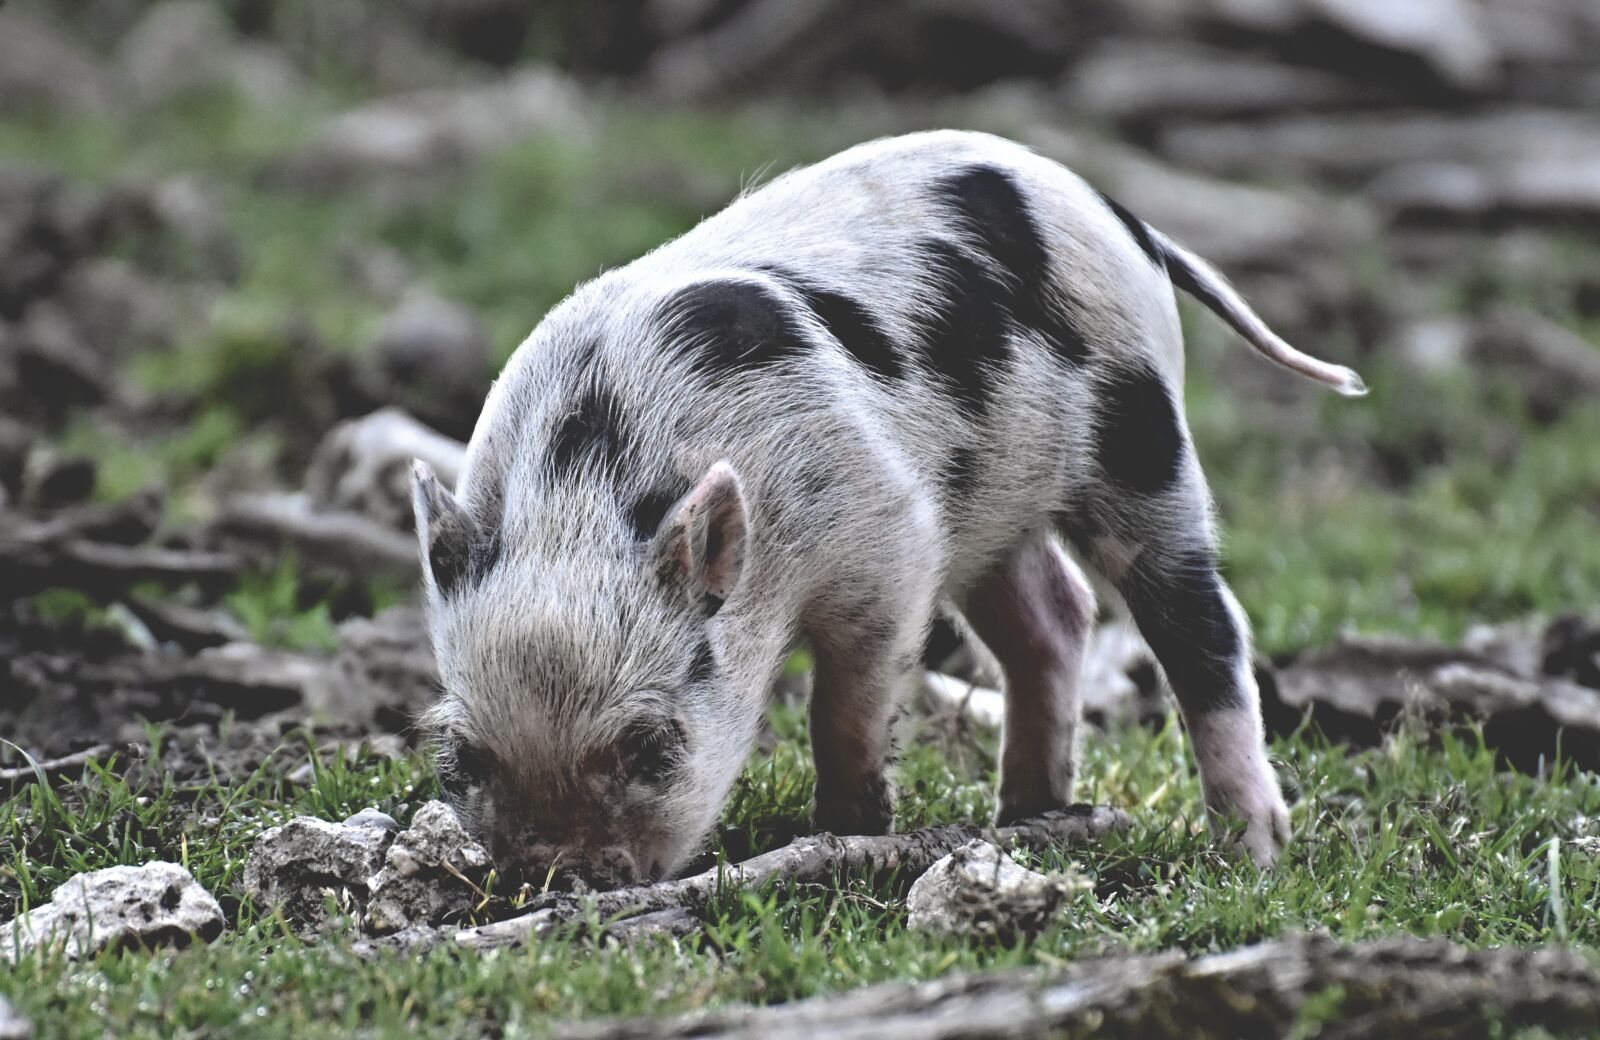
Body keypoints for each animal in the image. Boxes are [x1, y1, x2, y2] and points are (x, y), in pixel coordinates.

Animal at [410, 130, 1365, 885]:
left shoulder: (891, 540)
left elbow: (848, 708)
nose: (554, 877)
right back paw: (1027, 815)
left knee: (1200, 624)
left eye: (650, 744)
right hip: (990, 506)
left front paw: (849, 833)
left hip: (1141, 434)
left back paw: (1252, 849)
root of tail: (1113, 210)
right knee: (1054, 615)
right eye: (463, 758)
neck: (587, 476)